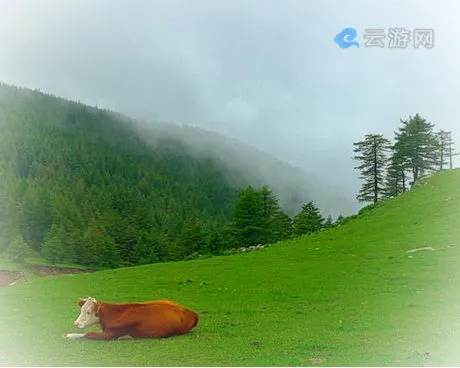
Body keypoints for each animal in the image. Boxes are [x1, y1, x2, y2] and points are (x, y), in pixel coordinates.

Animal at [62, 294, 199, 340]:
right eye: (81, 310)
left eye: (89, 312)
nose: (76, 323)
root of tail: (191, 312)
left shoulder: (112, 334)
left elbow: (89, 334)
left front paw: (69, 335)